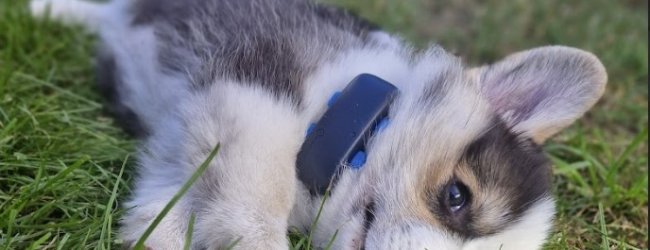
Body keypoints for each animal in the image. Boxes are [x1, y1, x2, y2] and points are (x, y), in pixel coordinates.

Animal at [31, 0, 608, 248]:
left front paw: (152, 233)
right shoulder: (254, 90)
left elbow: (169, 203)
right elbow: (259, 200)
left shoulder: (185, 150)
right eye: (456, 197)